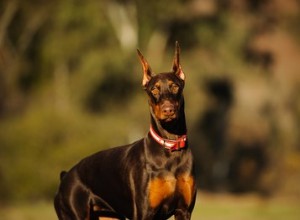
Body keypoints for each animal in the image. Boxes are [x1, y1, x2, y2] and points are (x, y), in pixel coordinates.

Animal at [54, 42, 197, 219]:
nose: (168, 110)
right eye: (154, 90)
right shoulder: (144, 212)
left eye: (175, 86)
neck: (170, 146)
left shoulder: (184, 210)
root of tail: (65, 176)